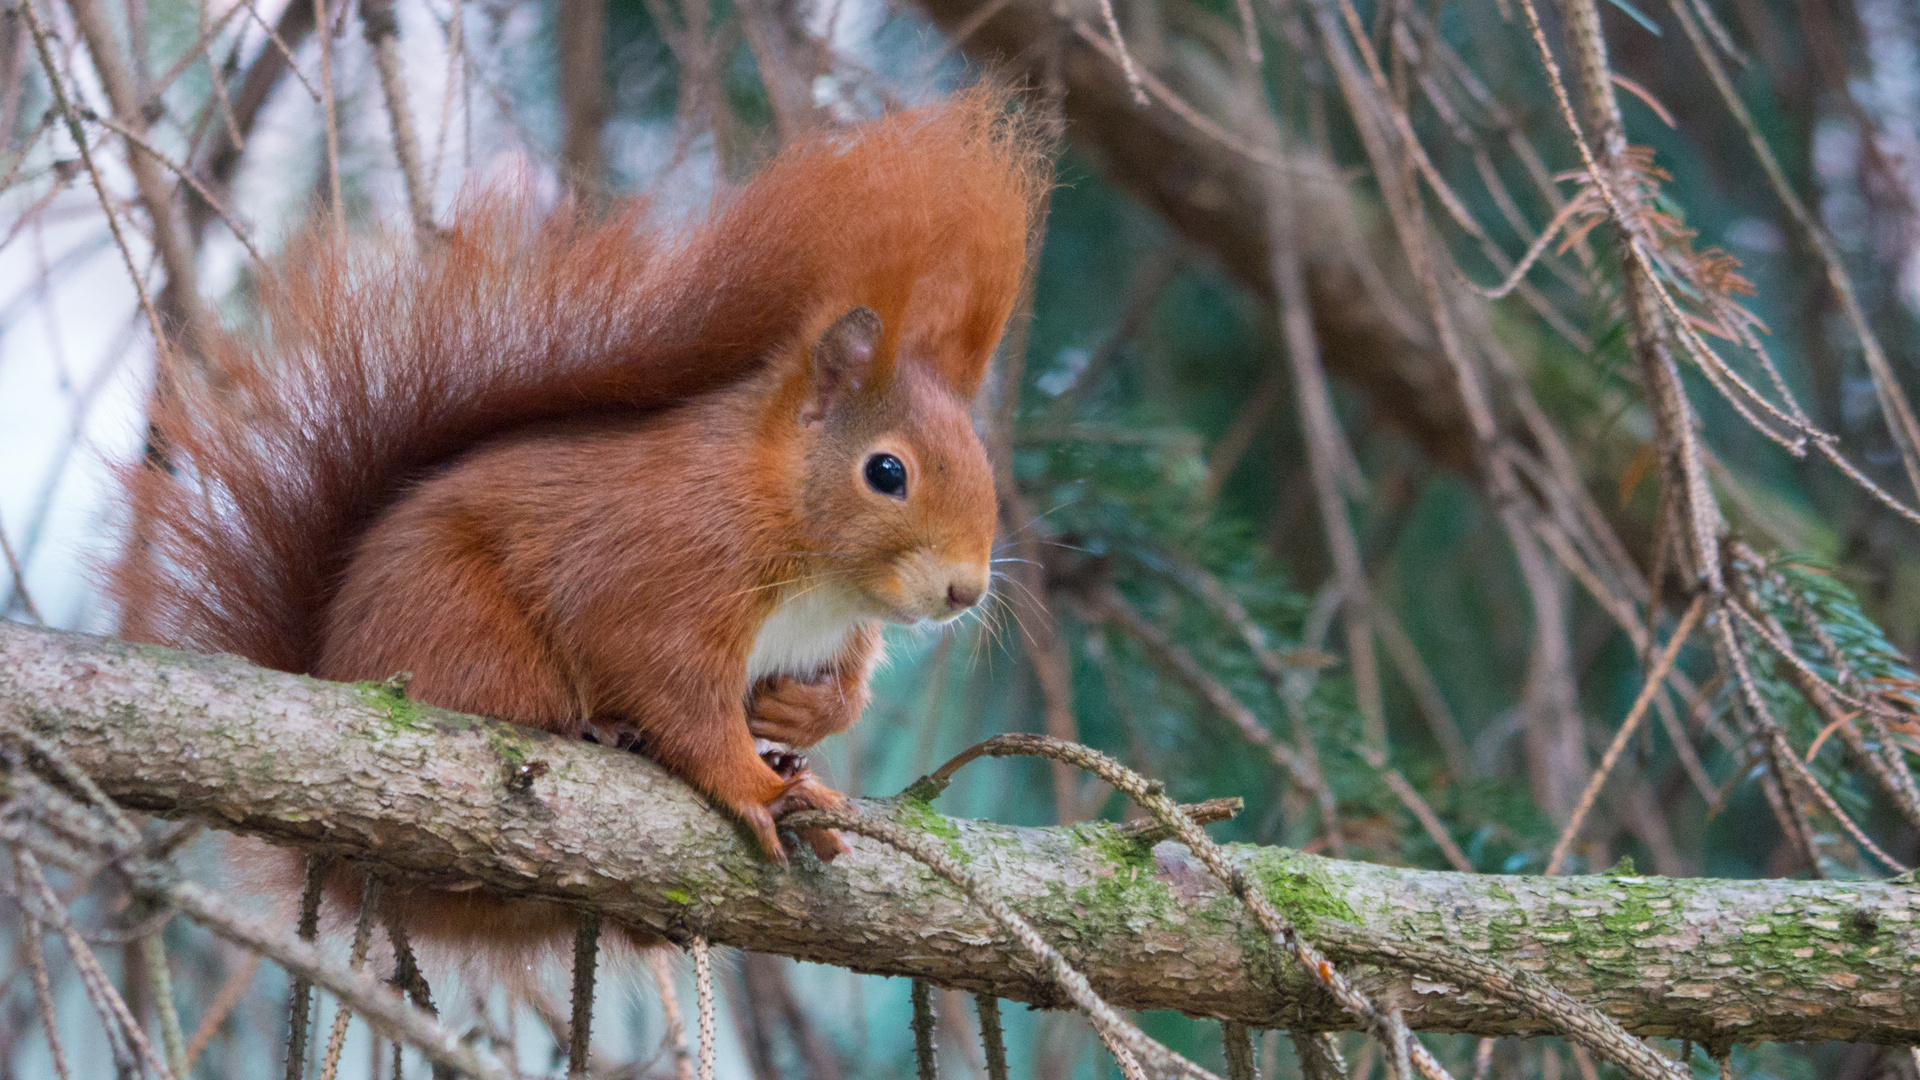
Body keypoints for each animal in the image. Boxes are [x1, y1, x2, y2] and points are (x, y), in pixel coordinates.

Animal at [112, 96, 1044, 941]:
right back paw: (600, 728)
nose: (964, 593)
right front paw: (755, 782)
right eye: (886, 472)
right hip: (466, 631)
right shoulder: (669, 575)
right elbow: (674, 689)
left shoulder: (839, 630)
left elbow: (844, 688)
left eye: (980, 457)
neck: (810, 556)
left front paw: (799, 722)